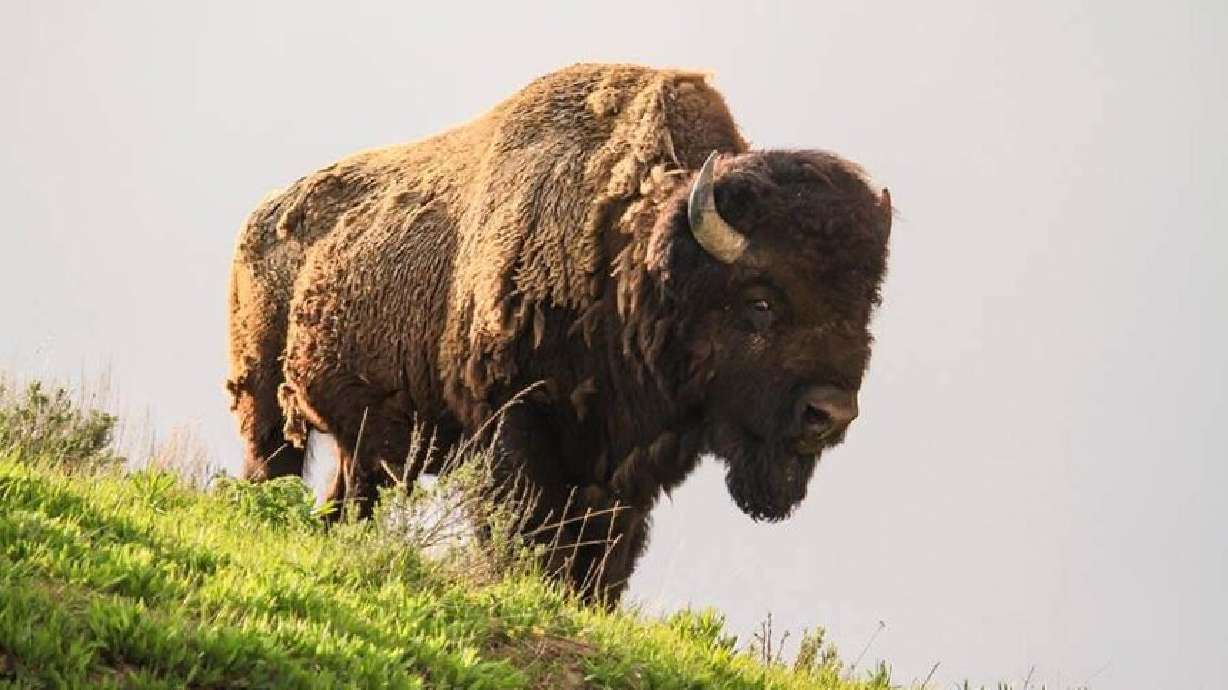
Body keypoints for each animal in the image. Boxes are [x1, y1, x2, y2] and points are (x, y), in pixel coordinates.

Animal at [227, 63, 892, 602]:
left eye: (866, 306)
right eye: (760, 301)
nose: (829, 414)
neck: (630, 259)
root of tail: (260, 219)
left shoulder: (622, 475)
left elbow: (604, 560)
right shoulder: (515, 428)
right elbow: (525, 530)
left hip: (367, 446)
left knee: (348, 498)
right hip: (264, 402)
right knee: (274, 464)